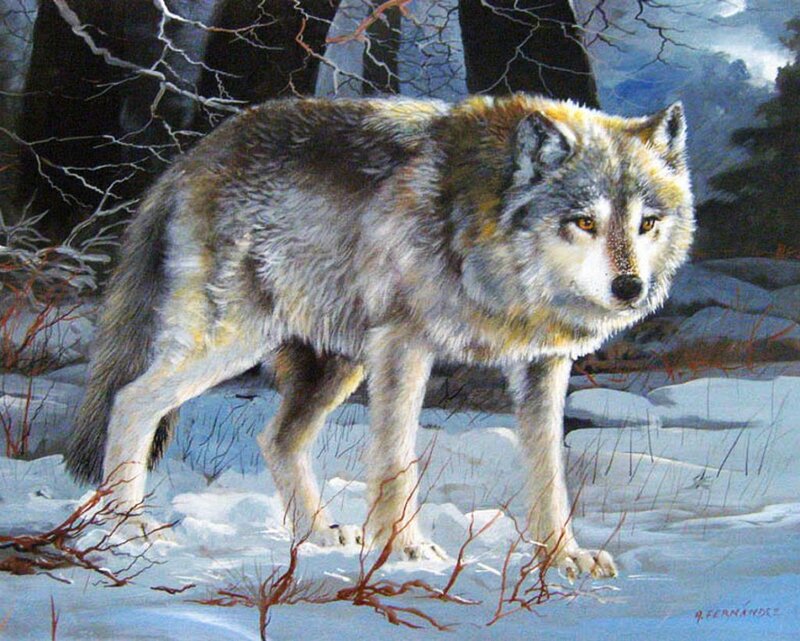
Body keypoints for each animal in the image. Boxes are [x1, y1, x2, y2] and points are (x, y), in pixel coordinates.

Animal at [65, 94, 694, 577]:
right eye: (585, 222)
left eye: (646, 223)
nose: (630, 288)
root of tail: (189, 159)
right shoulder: (403, 345)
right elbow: (395, 459)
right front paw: (405, 549)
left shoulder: (543, 365)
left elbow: (549, 475)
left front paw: (562, 557)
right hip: (233, 345)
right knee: (131, 399)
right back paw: (127, 525)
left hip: (337, 366)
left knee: (277, 439)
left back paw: (319, 534)